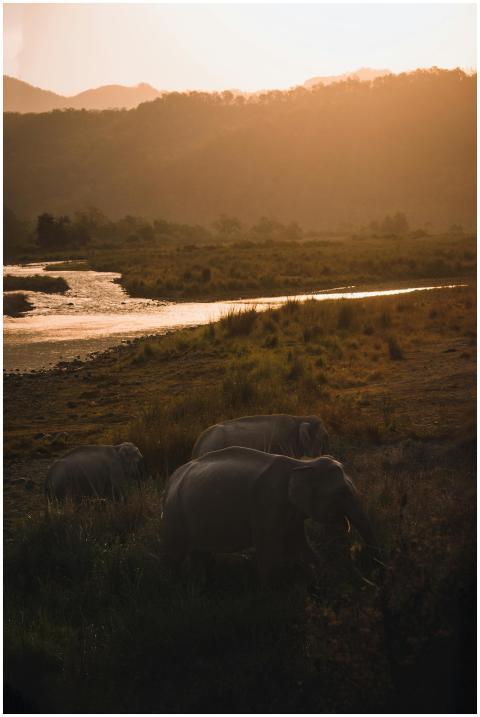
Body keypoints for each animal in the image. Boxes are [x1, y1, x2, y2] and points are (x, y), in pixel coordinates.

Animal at [163, 446, 375, 583]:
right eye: (343, 492)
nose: (359, 556)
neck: (301, 464)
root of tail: (170, 480)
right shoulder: (267, 502)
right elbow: (269, 549)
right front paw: (271, 594)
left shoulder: (290, 512)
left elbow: (300, 544)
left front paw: (325, 577)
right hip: (174, 515)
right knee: (175, 556)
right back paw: (174, 585)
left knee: (199, 554)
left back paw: (199, 586)